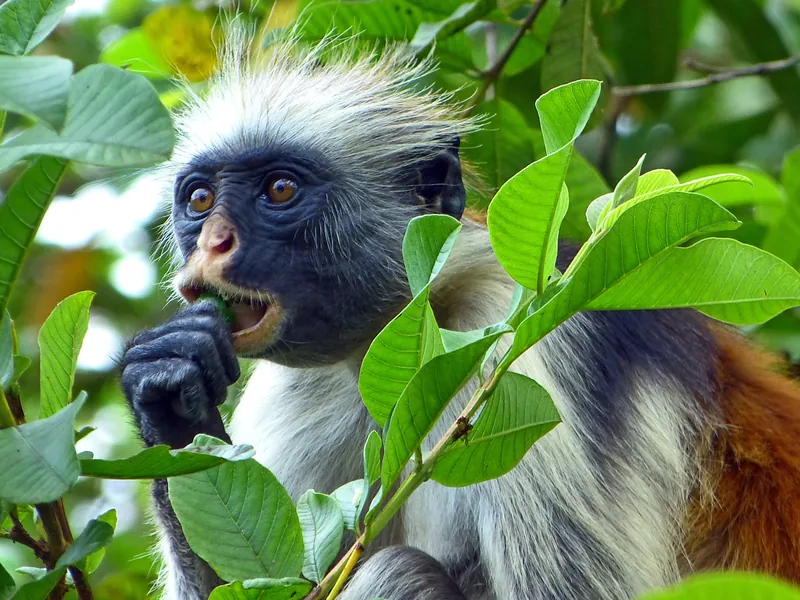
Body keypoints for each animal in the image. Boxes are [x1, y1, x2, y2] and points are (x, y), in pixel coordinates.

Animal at [120, 33, 800, 600]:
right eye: (199, 200)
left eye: (280, 190)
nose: (213, 244)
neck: (417, 333)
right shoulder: (303, 390)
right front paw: (172, 397)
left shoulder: (521, 339)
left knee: (399, 573)